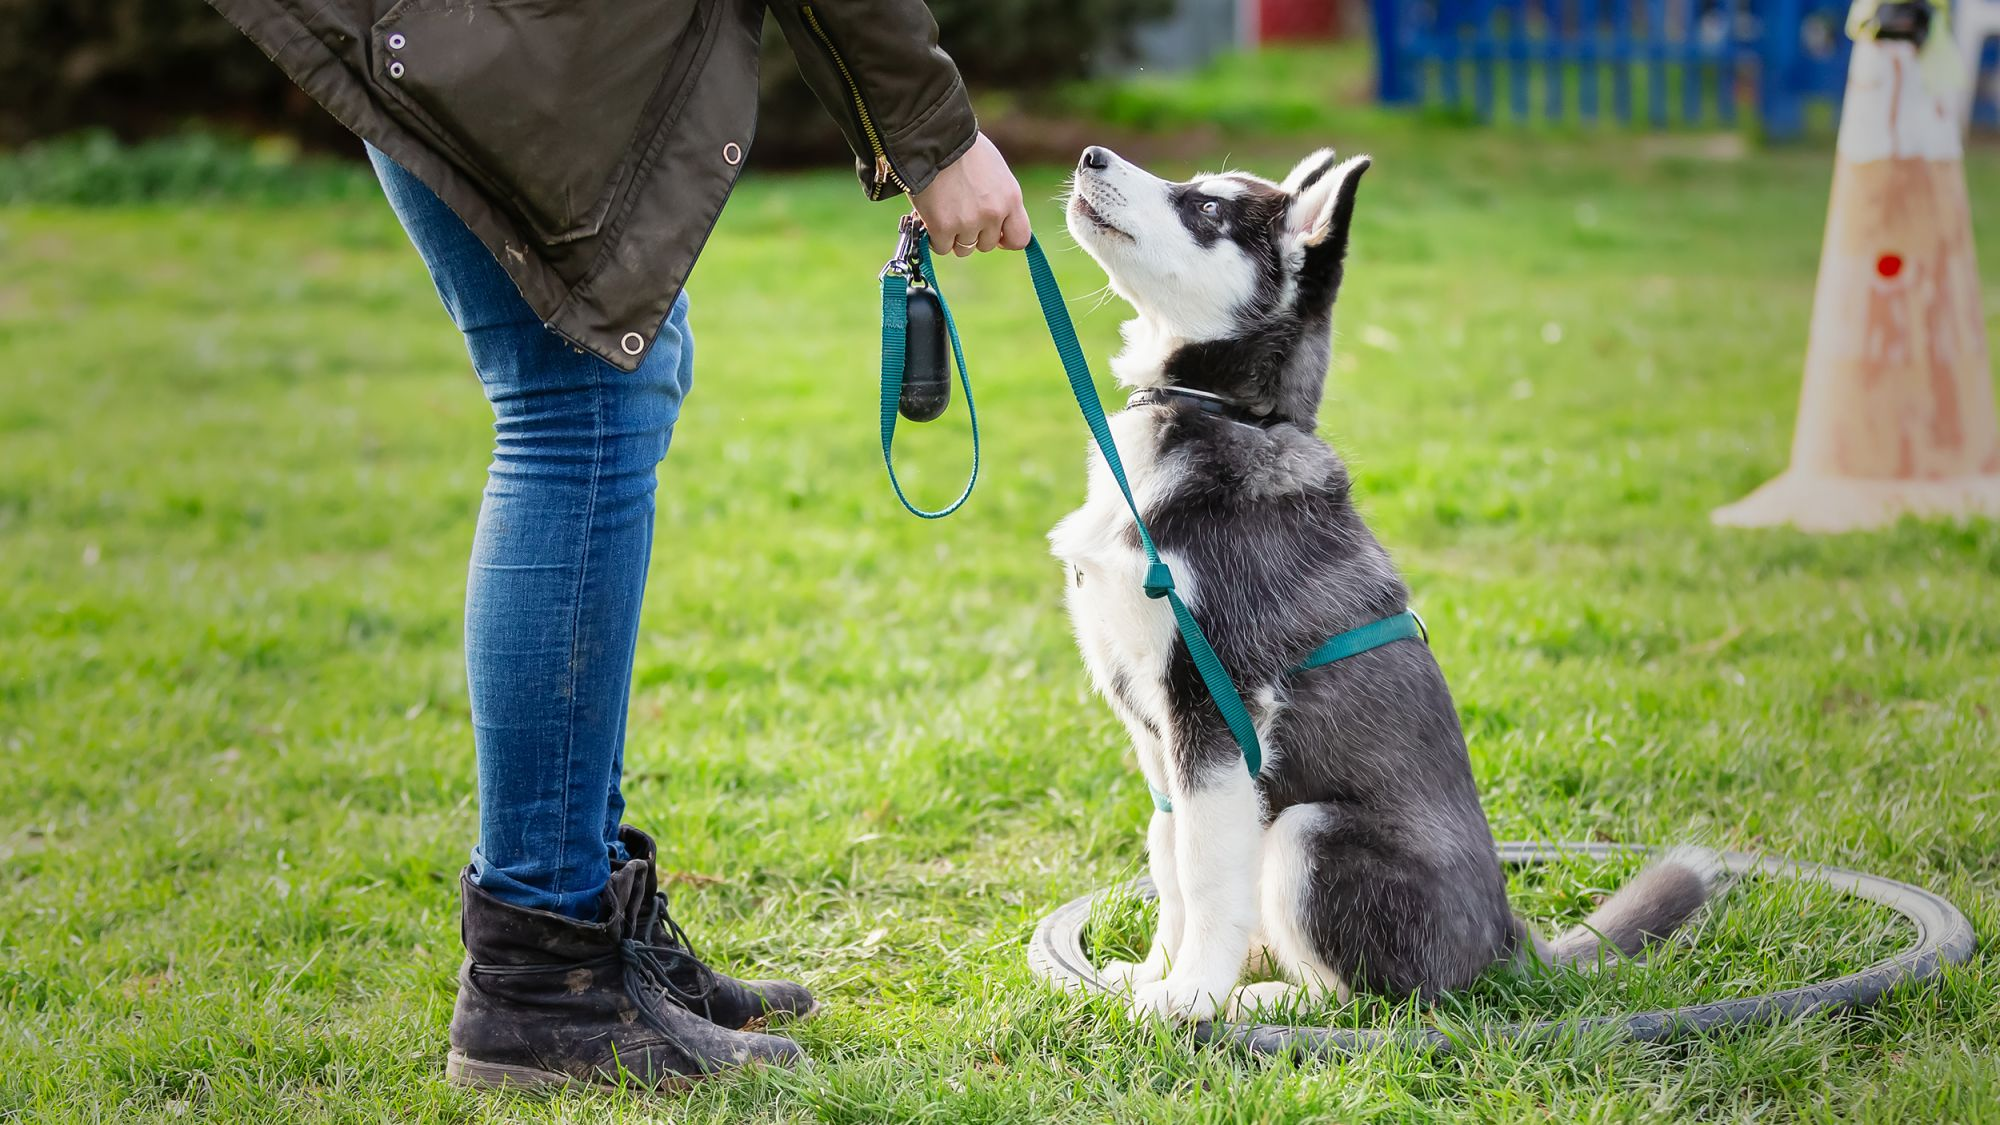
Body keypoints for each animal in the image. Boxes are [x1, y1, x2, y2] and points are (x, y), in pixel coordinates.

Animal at [1048, 144, 1720, 1020]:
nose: (1090, 154)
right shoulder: (1154, 728)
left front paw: (1190, 995)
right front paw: (1157, 971)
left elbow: (1205, 871)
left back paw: (1263, 999)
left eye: (1207, 209)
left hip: (1307, 830)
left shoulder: (1217, 706)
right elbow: (1169, 856)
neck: (1219, 413)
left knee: (1374, 998)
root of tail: (1506, 939)